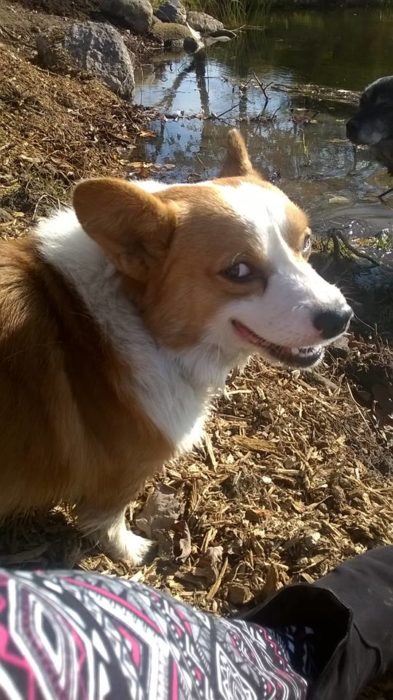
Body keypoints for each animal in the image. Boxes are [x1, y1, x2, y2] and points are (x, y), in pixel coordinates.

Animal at [0, 130, 350, 564]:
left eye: (307, 242)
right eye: (238, 270)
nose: (341, 317)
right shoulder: (121, 476)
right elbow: (108, 517)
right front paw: (130, 551)